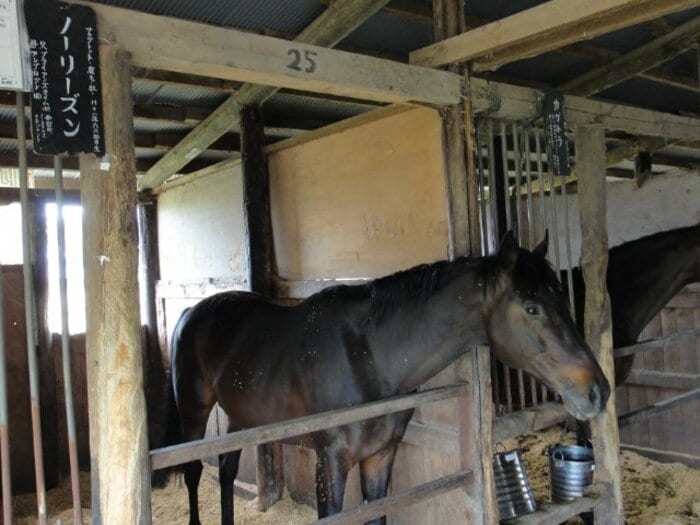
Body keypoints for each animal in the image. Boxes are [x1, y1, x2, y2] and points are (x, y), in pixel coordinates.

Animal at [166, 231, 610, 525]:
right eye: (532, 308)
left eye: (562, 297)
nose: (597, 390)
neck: (367, 357)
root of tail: (191, 313)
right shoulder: (330, 462)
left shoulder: (380, 457)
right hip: (194, 412)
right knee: (192, 472)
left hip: (241, 418)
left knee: (226, 470)